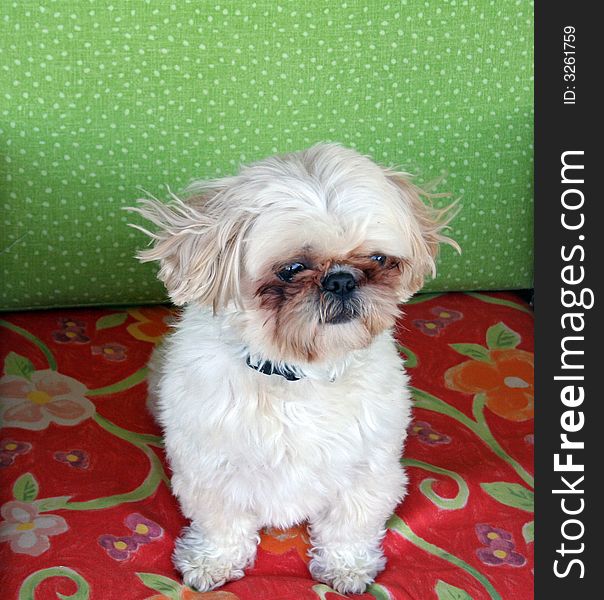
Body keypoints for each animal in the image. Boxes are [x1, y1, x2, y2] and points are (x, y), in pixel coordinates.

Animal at [129, 143, 458, 592]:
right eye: (291, 269)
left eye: (378, 259)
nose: (342, 280)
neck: (298, 373)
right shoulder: (210, 468)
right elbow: (222, 523)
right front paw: (213, 561)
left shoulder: (370, 469)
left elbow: (350, 525)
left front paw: (347, 567)